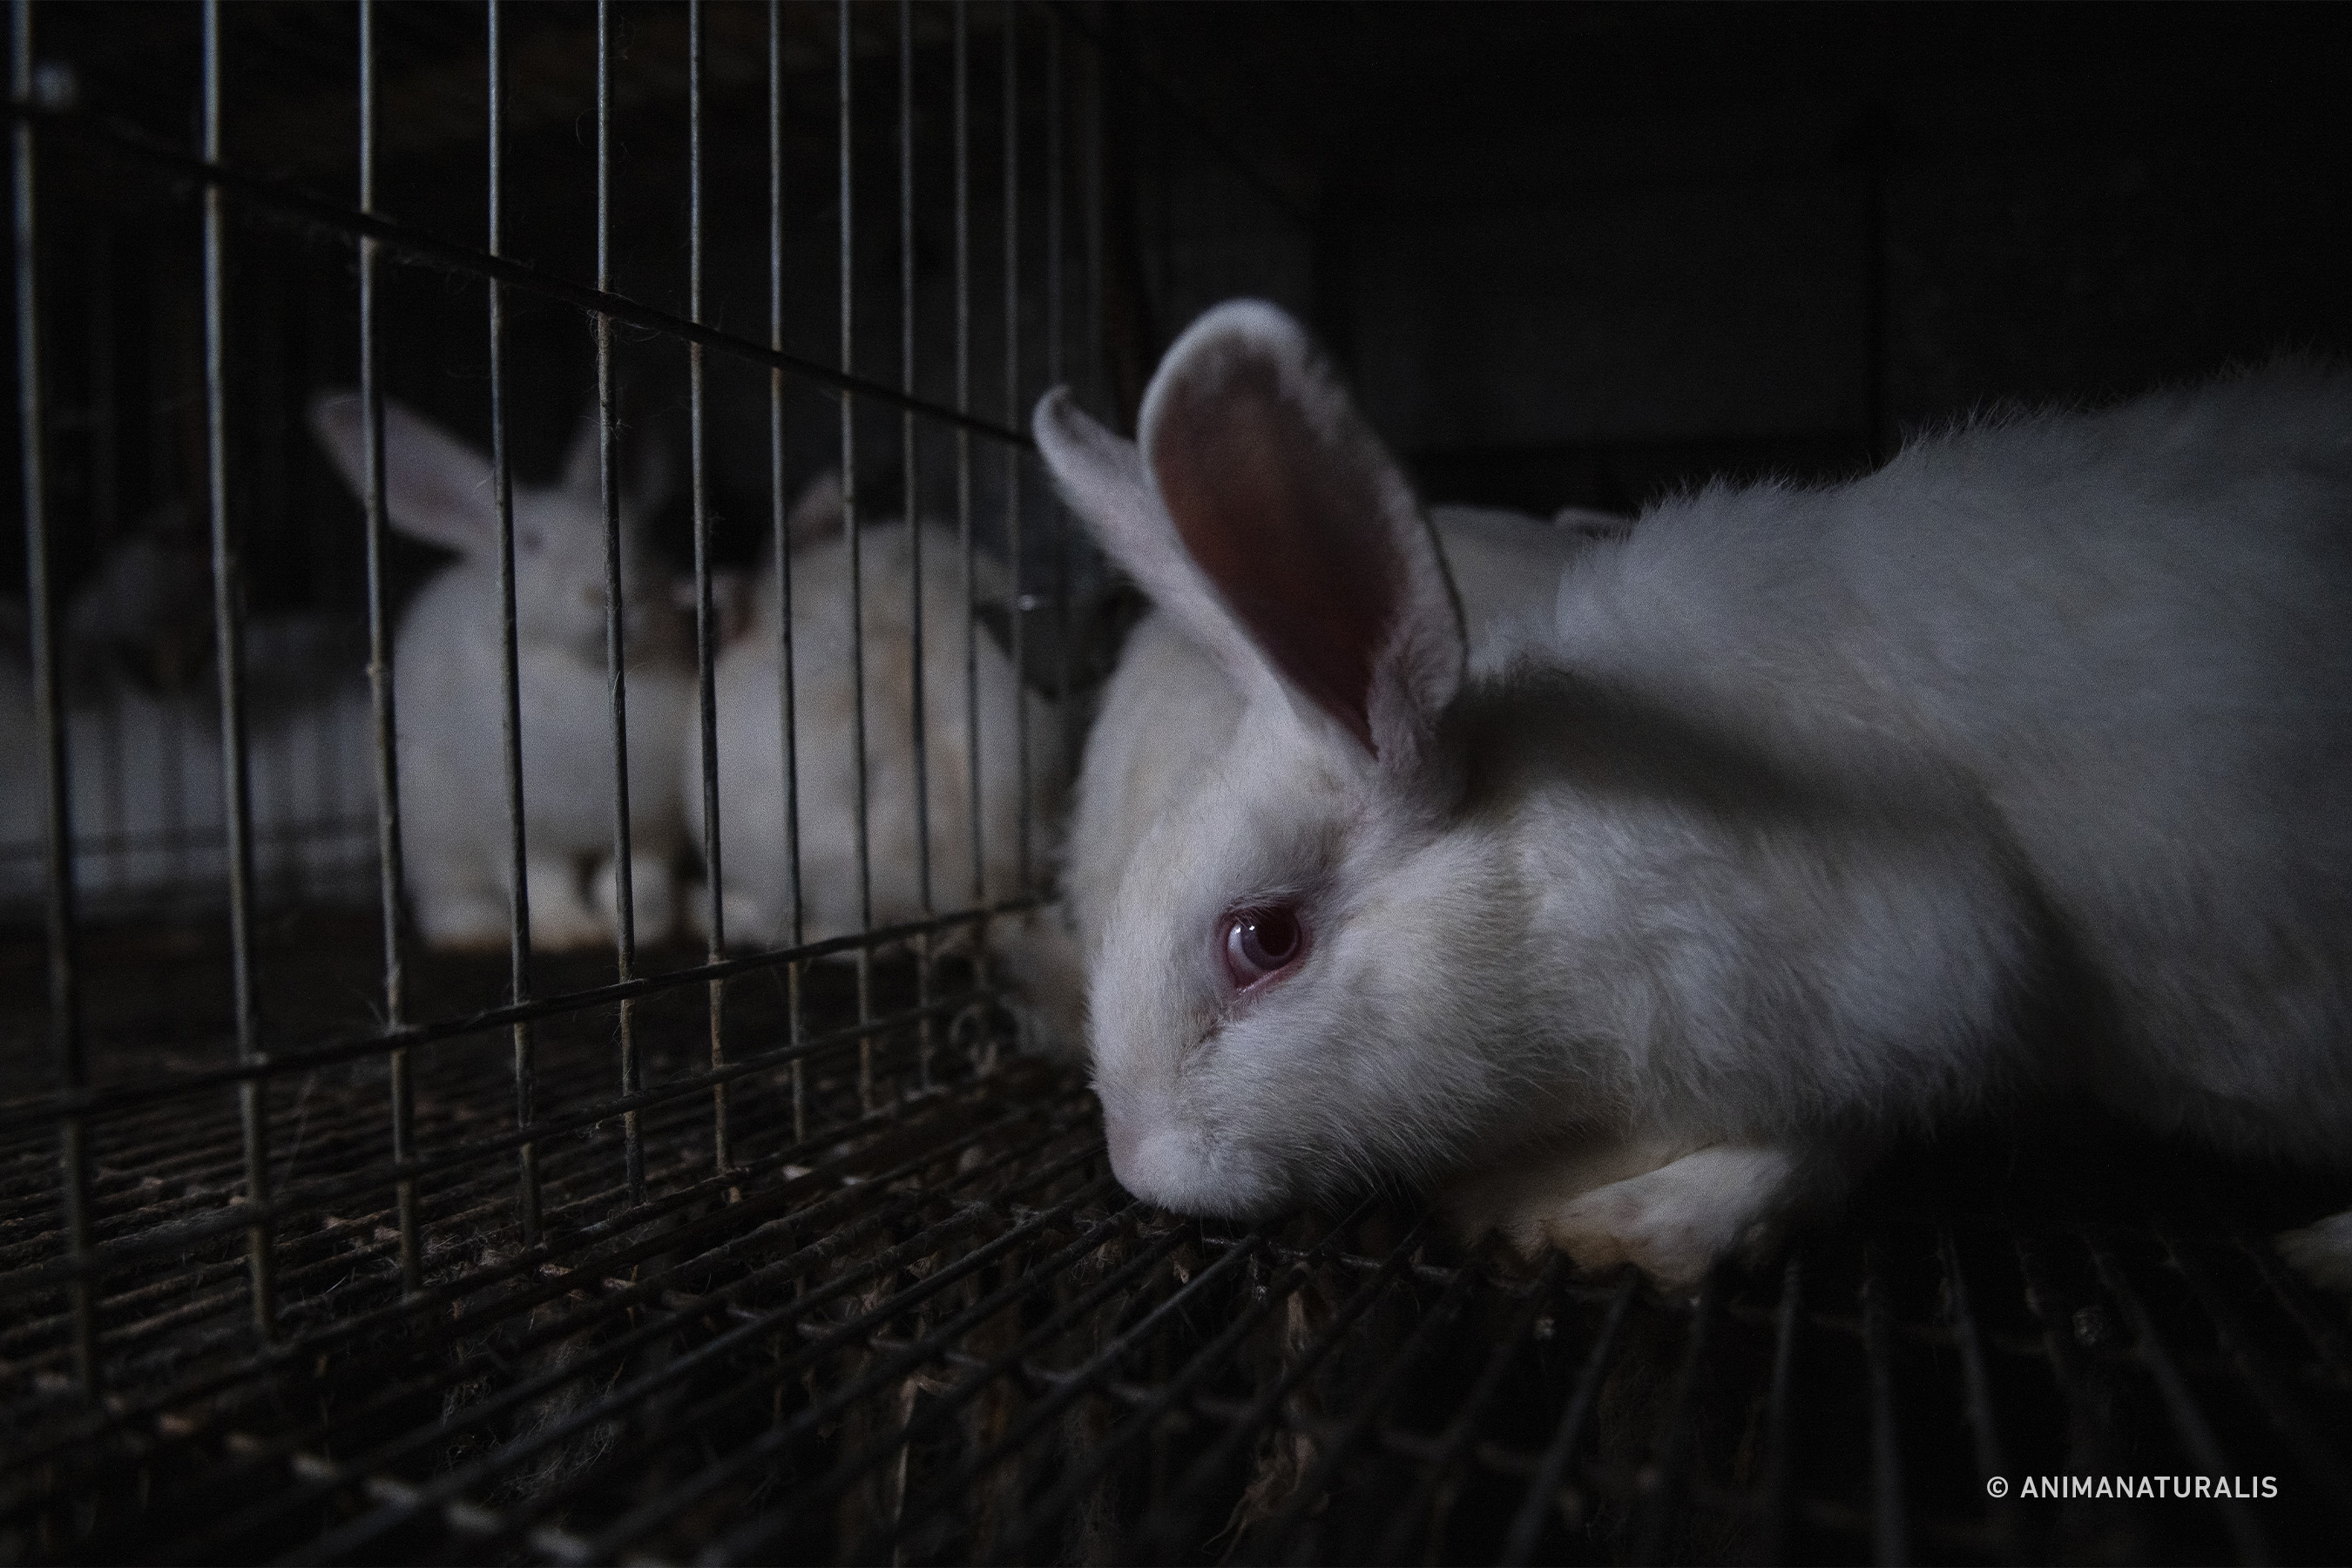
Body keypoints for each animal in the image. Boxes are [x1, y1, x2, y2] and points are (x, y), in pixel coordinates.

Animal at [310, 394, 693, 951]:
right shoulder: (514, 822)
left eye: (634, 532)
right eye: (530, 542)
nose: (612, 591)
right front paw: (569, 932)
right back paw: (477, 930)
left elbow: (633, 879)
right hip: (434, 841)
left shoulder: (650, 823)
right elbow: (543, 880)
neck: (587, 675)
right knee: (446, 902)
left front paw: (642, 930)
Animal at [1032, 297, 2352, 1293]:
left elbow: (1806, 1143)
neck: (1541, 865)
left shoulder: (1911, 972)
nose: (1136, 1163)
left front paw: (1587, 1218)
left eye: (1263, 940)